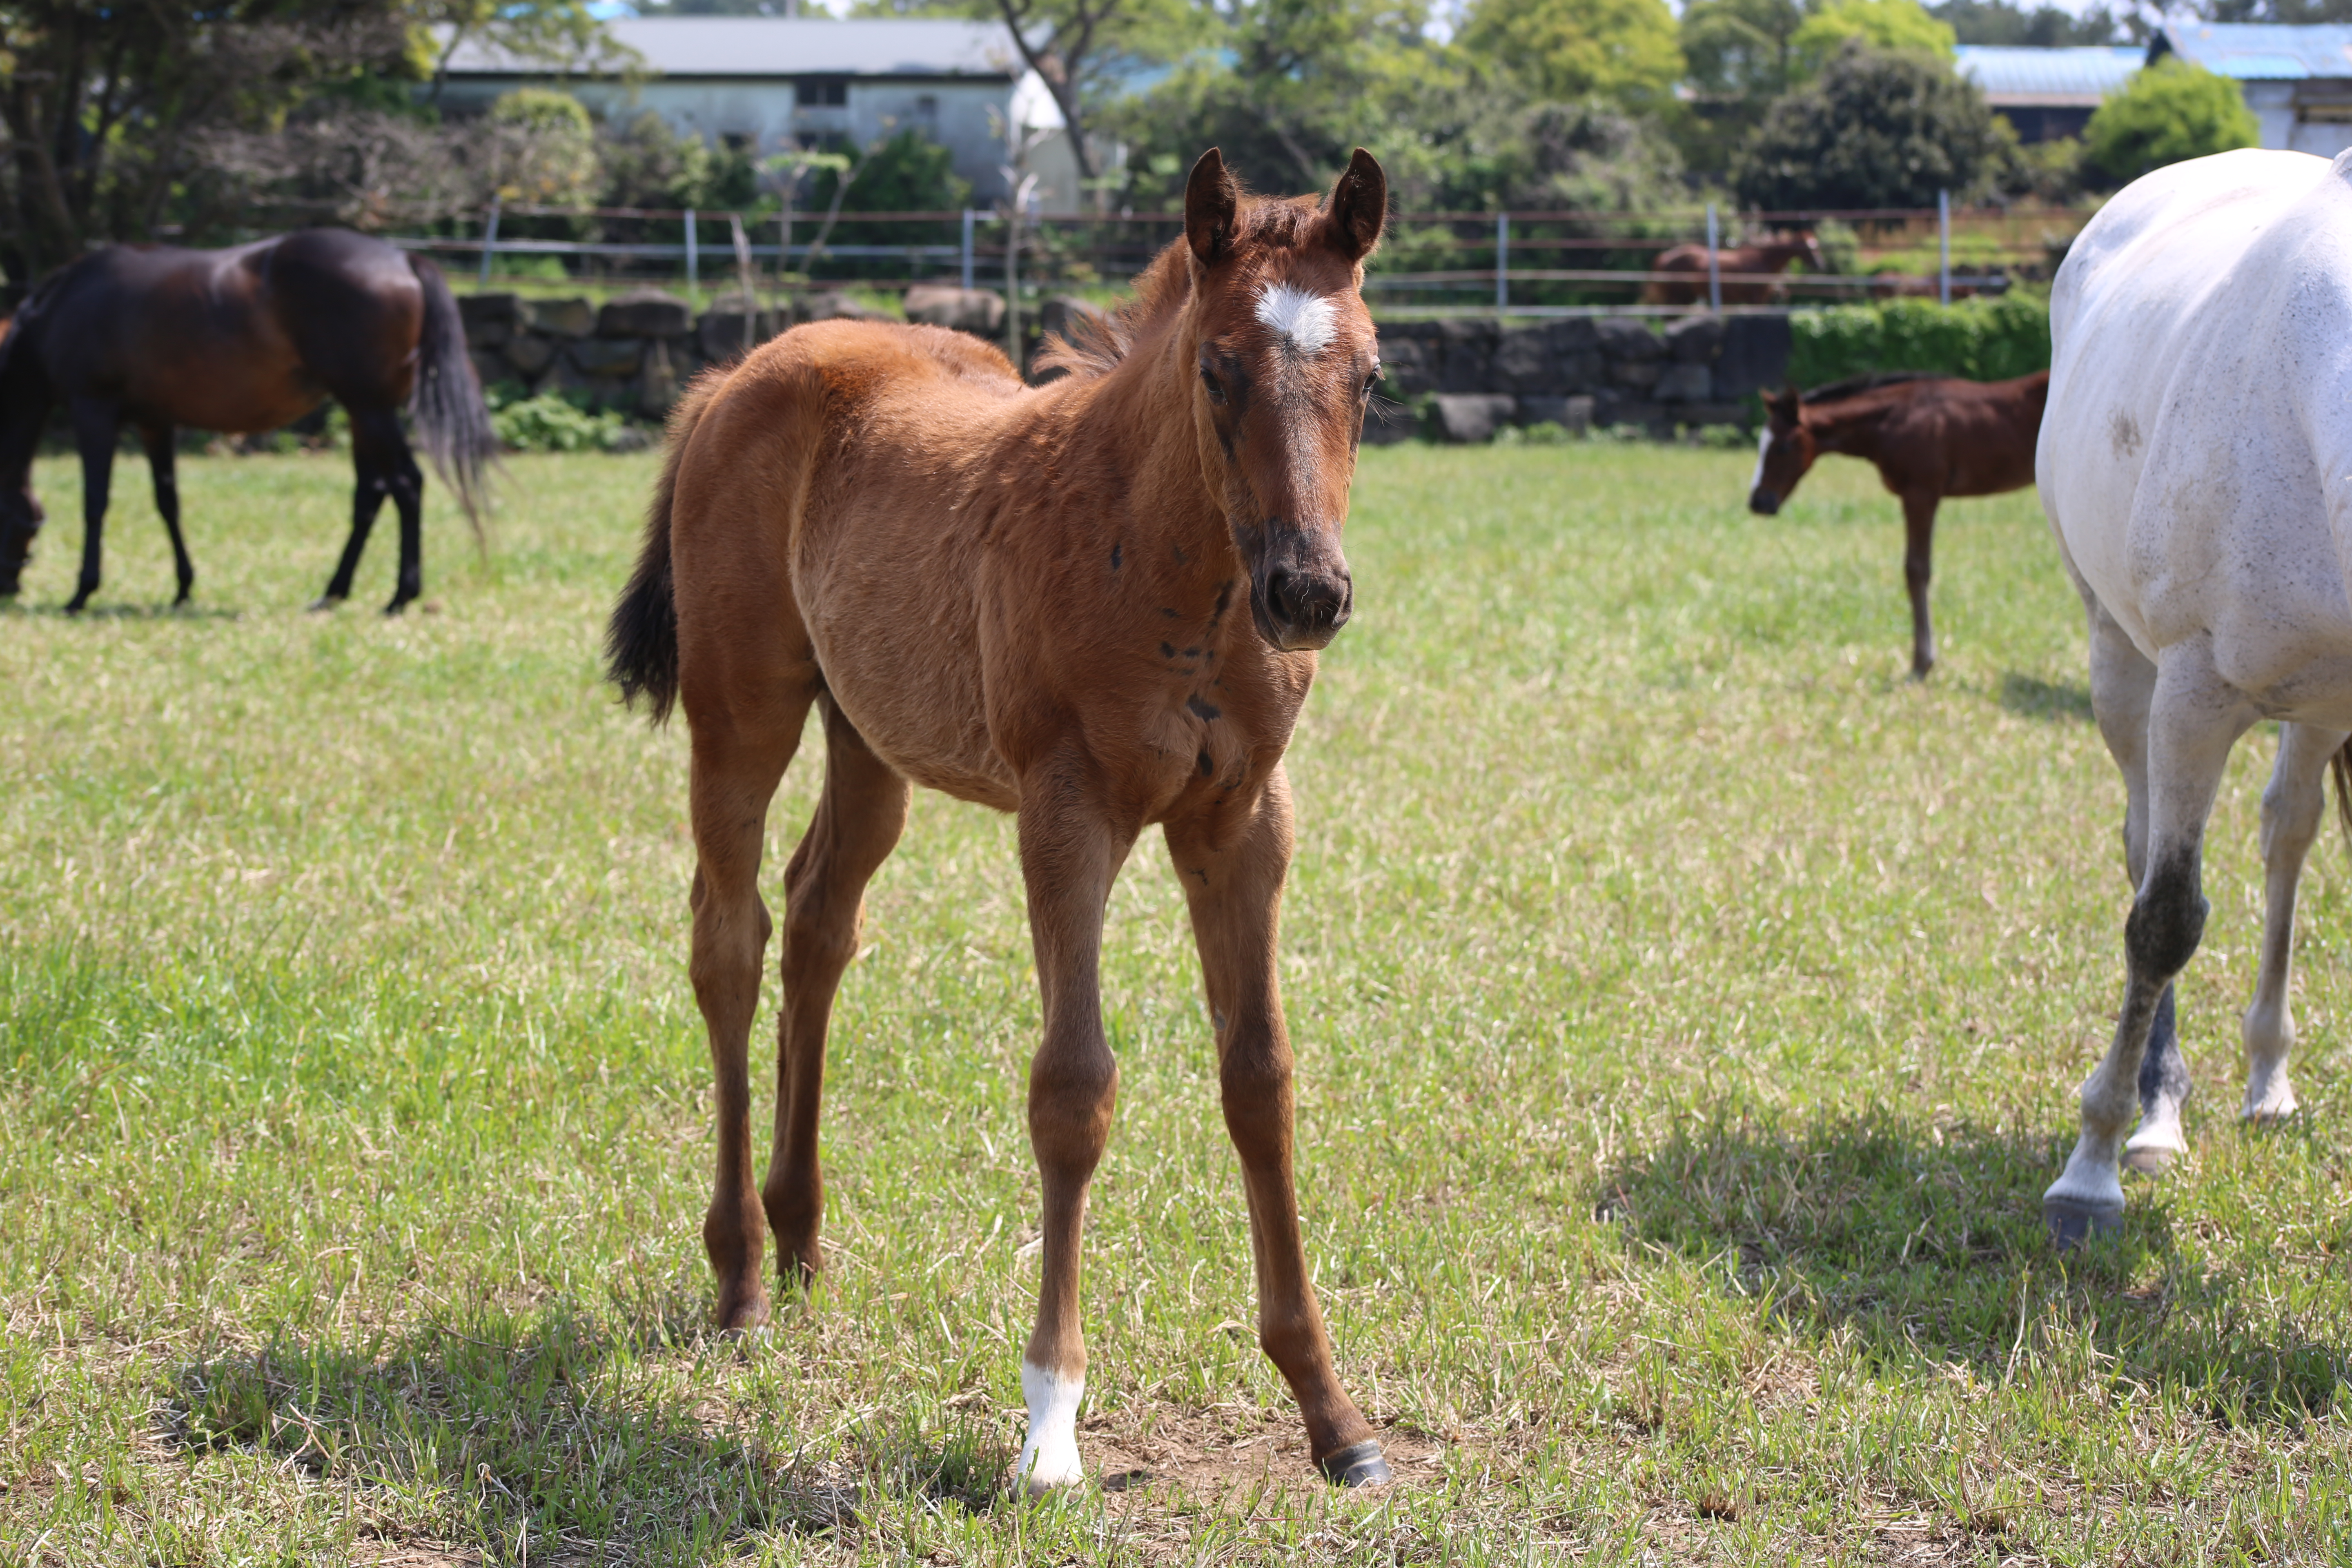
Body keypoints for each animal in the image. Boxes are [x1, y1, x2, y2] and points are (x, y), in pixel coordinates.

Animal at [0, 230, 496, 616]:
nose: (9, 587)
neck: (61, 306)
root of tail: (403, 259)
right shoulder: (155, 421)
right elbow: (168, 502)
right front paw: (183, 588)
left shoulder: (93, 411)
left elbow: (95, 502)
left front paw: (81, 593)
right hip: (363, 413)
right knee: (371, 496)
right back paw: (333, 593)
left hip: (370, 409)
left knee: (407, 486)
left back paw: (400, 596)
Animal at [607, 147, 1401, 1495]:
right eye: (1218, 368)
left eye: (1371, 375)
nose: (1308, 593)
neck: (1170, 566)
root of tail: (732, 378)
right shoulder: (1066, 812)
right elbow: (1074, 1090)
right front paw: (1049, 1423)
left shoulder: (1244, 819)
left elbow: (1261, 1079)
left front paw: (1331, 1412)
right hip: (742, 715)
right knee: (731, 939)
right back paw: (742, 1276)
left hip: (871, 740)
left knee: (819, 923)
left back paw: (804, 1240)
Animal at [1646, 232, 1825, 305]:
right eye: (1809, 248)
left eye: (1816, 246)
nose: (1820, 264)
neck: (1764, 260)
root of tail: (1666, 256)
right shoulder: (1757, 299)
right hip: (1677, 298)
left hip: (1686, 298)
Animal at [1740, 376, 2051, 682]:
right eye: (1761, 445)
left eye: (1783, 447)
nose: (1758, 502)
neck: (1894, 420)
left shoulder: (1921, 493)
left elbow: (1916, 570)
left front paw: (1921, 664)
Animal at [2032, 150, 2352, 1250]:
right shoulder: (2194, 693)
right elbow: (2164, 919)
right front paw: (2088, 1171)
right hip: (2121, 661)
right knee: (2143, 850)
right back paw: (2155, 1111)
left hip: (2320, 706)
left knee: (2286, 835)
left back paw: (2267, 1076)